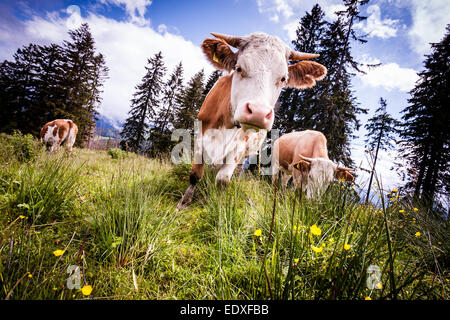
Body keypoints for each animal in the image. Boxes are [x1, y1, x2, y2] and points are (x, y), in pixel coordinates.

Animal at [176, 31, 326, 209]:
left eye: (283, 78)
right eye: (239, 68)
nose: (258, 113)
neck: (226, 123)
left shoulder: (239, 146)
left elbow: (222, 179)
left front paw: (219, 205)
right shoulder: (201, 135)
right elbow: (195, 173)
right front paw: (184, 202)